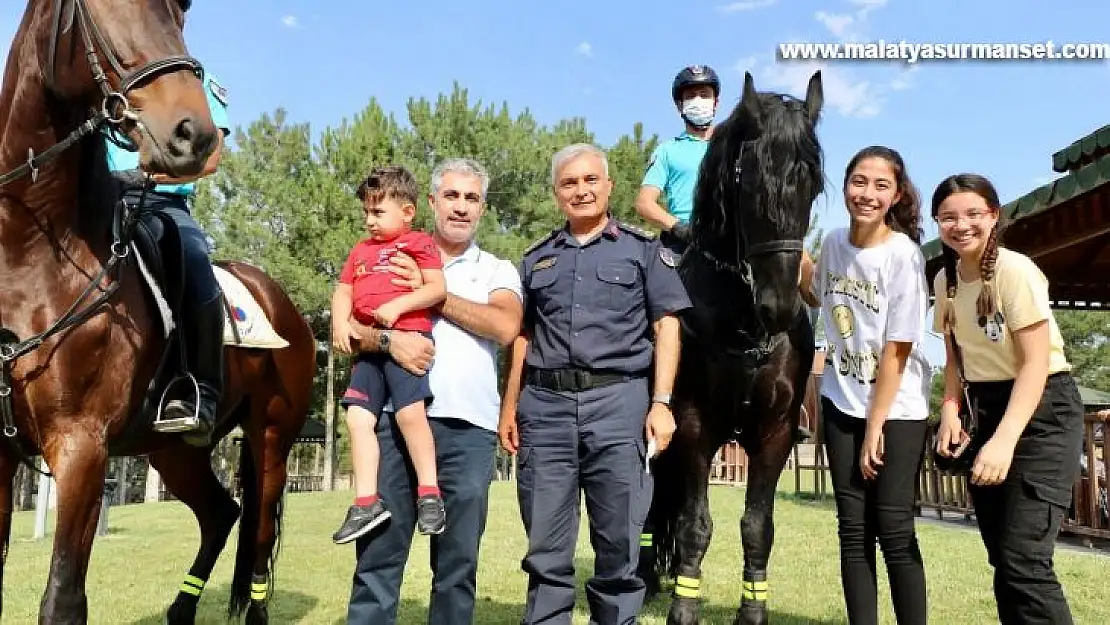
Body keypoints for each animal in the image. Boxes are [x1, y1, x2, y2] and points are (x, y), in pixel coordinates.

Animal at [0, 1, 317, 625]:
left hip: (272, 439)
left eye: (179, 12)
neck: (29, 254)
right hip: (174, 450)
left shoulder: (81, 445)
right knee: (221, 513)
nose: (195, 133)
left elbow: (63, 599)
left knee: (260, 534)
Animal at [643, 69, 825, 625]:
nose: (779, 307)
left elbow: (757, 527)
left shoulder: (776, 434)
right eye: (750, 182)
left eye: (813, 184)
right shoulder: (693, 428)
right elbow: (694, 523)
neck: (744, 325)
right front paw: (684, 608)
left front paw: (752, 613)